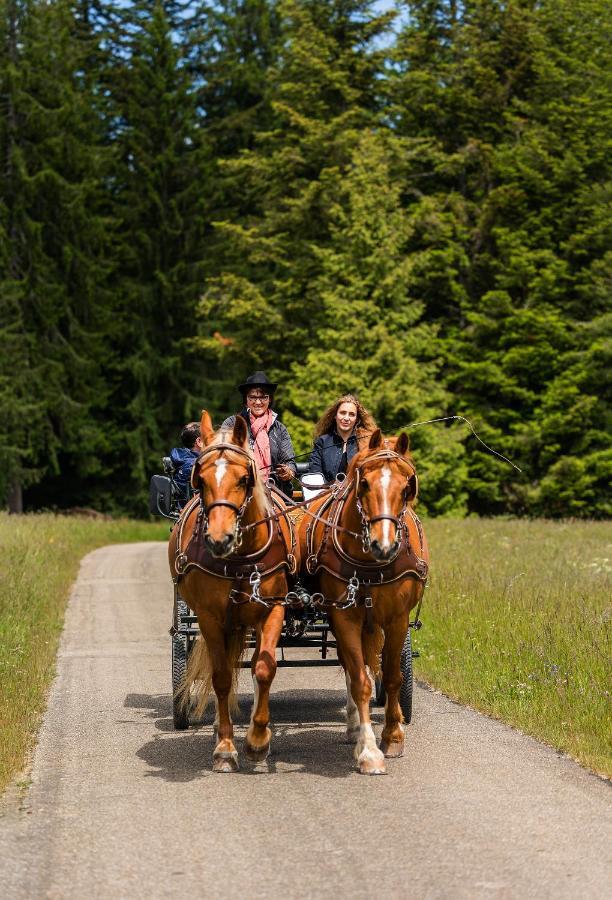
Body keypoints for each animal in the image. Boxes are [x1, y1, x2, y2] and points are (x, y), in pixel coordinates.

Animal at [169, 412, 298, 768]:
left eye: (243, 479)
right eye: (199, 480)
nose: (219, 539)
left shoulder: (273, 609)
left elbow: (264, 668)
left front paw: (258, 740)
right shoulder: (210, 618)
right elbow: (222, 677)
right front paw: (226, 747)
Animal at [298, 428, 428, 772]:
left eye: (407, 485)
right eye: (365, 483)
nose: (384, 545)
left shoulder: (397, 618)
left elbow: (392, 676)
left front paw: (393, 737)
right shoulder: (344, 616)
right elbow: (360, 681)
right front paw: (368, 750)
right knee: (351, 667)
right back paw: (355, 727)